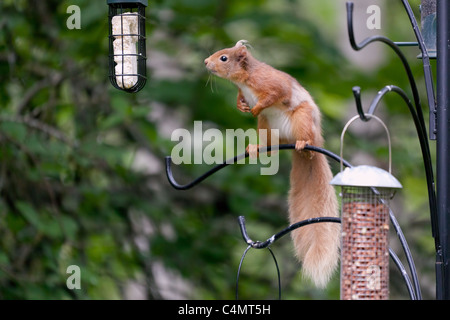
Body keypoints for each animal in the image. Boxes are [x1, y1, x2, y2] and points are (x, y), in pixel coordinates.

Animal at [206, 40, 340, 288]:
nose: (205, 62)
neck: (244, 80)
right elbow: (241, 99)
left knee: (304, 138)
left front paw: (257, 106)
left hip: (302, 118)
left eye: (224, 58)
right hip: (266, 126)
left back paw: (303, 144)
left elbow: (276, 93)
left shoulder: (271, 83)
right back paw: (256, 148)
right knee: (270, 142)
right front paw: (241, 105)